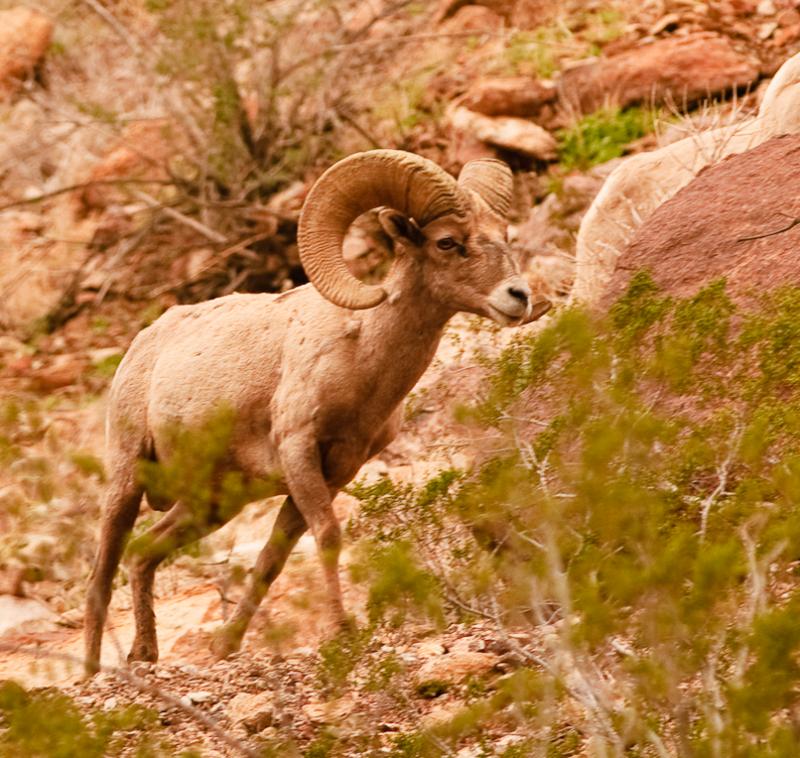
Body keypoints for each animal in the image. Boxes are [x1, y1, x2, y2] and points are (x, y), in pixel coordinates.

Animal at [83, 149, 551, 674]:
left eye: (504, 234)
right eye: (447, 242)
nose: (518, 297)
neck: (362, 357)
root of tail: (143, 344)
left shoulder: (333, 473)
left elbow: (273, 559)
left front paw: (226, 646)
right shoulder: (299, 453)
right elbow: (327, 535)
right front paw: (342, 633)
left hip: (213, 503)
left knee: (143, 555)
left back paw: (145, 655)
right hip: (128, 480)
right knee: (102, 574)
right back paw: (92, 671)